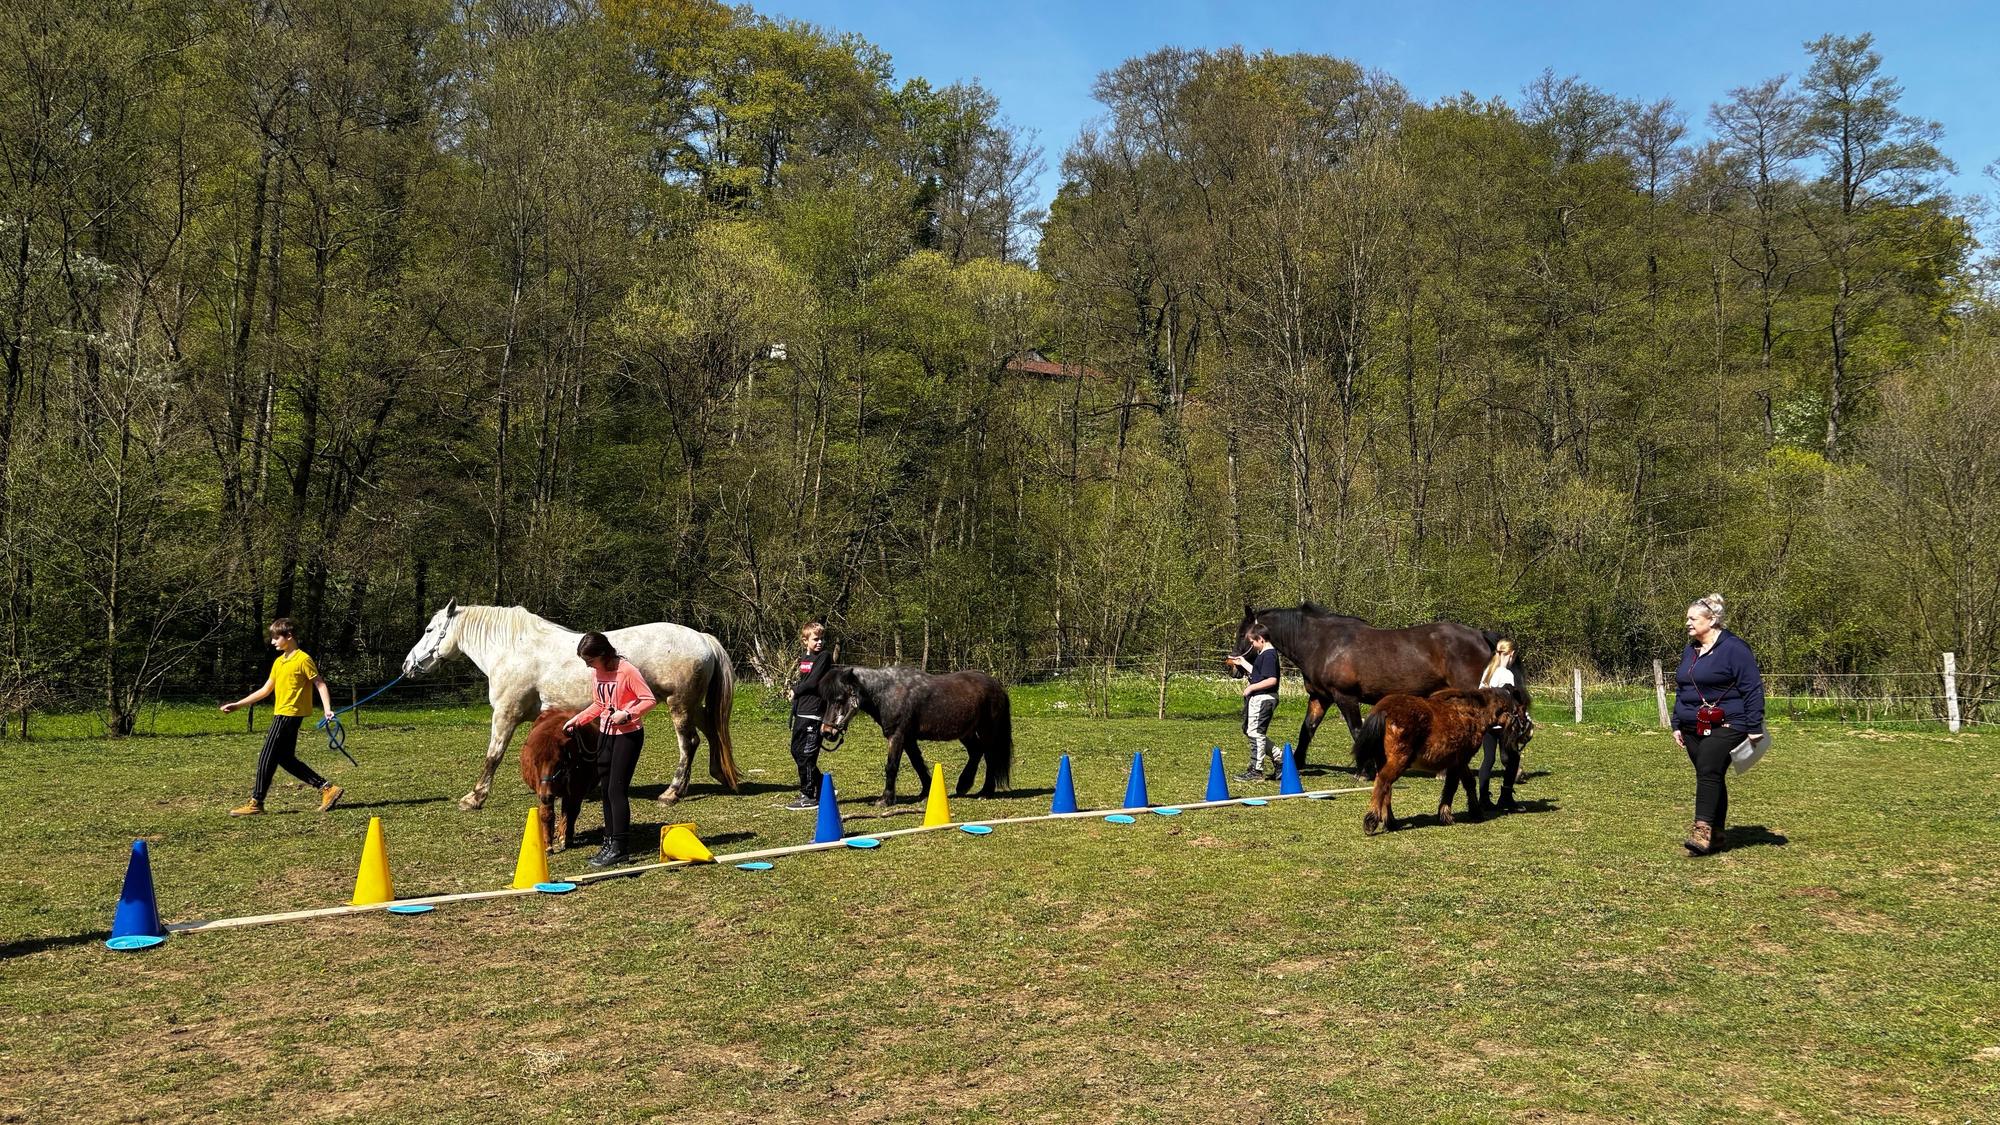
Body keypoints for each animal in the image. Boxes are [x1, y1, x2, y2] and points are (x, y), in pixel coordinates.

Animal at [400, 601, 740, 810]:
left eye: (429, 630)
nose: (407, 665)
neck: (511, 649)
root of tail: (702, 638)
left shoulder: (506, 714)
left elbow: (493, 756)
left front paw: (474, 798)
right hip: (693, 706)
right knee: (712, 733)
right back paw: (720, 776)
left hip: (679, 704)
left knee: (689, 742)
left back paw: (672, 792)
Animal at [518, 708, 597, 852]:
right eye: (535, 763)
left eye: (559, 763)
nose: (546, 795)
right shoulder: (542, 791)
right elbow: (546, 814)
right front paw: (548, 844)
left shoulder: (577, 791)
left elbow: (571, 812)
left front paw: (566, 837)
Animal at [815, 666, 1013, 808]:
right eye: (826, 700)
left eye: (839, 700)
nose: (826, 732)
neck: (887, 692)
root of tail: (998, 687)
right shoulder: (908, 738)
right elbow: (917, 764)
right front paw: (927, 790)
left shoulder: (897, 736)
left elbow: (892, 766)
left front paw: (885, 800)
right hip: (966, 732)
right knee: (976, 752)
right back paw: (963, 784)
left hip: (986, 731)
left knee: (990, 757)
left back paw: (985, 792)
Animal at [1229, 603, 1501, 766]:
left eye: (1242, 634)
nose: (1232, 667)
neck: (1322, 643)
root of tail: (1480, 635)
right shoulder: (1321, 697)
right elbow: (1307, 730)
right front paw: (1295, 763)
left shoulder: (1345, 697)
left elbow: (1356, 730)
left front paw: (1367, 768)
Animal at [1349, 686, 1533, 835]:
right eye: (1522, 710)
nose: (1527, 734)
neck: (1473, 712)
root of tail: (1383, 710)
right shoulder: (1461, 760)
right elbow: (1458, 785)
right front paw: (1461, 814)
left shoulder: (1456, 763)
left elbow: (1462, 784)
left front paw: (1453, 813)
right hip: (1399, 761)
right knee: (1383, 782)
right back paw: (1372, 820)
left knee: (1386, 787)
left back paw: (1391, 822)